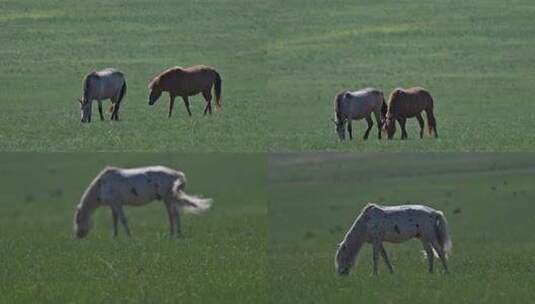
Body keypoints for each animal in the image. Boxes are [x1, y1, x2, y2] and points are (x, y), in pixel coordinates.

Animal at [71, 165, 214, 239]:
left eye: (78, 220)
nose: (78, 235)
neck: (101, 185)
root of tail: (178, 174)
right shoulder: (113, 206)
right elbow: (115, 221)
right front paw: (115, 237)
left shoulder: (117, 204)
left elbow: (123, 220)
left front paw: (130, 236)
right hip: (170, 199)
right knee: (175, 215)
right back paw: (176, 234)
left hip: (168, 199)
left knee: (173, 216)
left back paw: (173, 234)